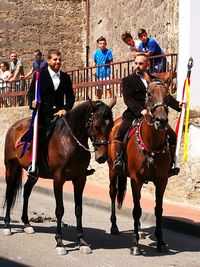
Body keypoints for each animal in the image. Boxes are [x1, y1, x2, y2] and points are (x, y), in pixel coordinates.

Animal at [2, 98, 115, 255]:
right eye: (97, 125)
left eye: (111, 125)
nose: (102, 157)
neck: (70, 142)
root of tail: (14, 127)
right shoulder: (58, 179)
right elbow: (60, 210)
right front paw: (60, 242)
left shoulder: (80, 179)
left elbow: (78, 209)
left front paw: (82, 241)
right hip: (11, 167)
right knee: (9, 192)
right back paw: (7, 225)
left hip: (33, 175)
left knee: (26, 192)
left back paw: (27, 223)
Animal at [108, 81, 172, 255]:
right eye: (149, 94)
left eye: (168, 95)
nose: (161, 120)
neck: (152, 143)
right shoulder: (136, 180)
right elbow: (136, 210)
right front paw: (135, 244)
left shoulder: (162, 181)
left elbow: (159, 210)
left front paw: (161, 241)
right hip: (112, 171)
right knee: (113, 193)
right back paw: (114, 226)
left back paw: (141, 230)